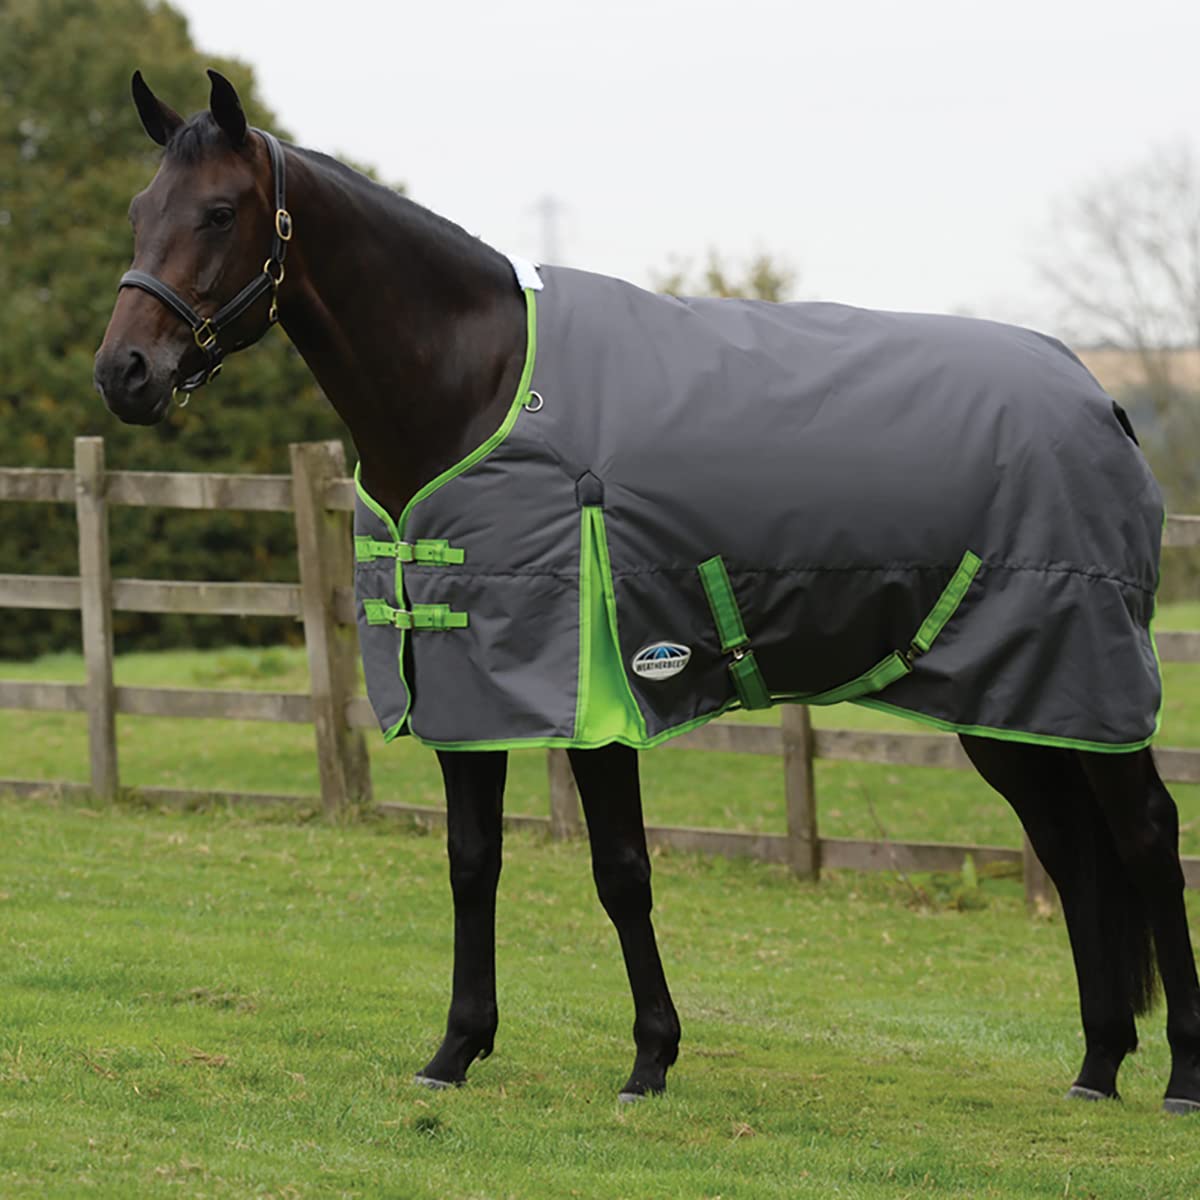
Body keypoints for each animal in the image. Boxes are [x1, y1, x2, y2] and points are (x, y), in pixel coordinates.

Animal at [94, 70, 1200, 1113]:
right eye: (140, 210)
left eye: (220, 212)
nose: (124, 372)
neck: (478, 385)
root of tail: (1101, 397)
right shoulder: (466, 683)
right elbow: (471, 860)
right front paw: (456, 1051)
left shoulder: (601, 690)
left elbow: (622, 871)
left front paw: (650, 1060)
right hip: (1010, 700)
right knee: (1072, 851)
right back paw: (1098, 1065)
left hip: (1088, 672)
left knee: (1146, 834)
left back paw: (1180, 1078)